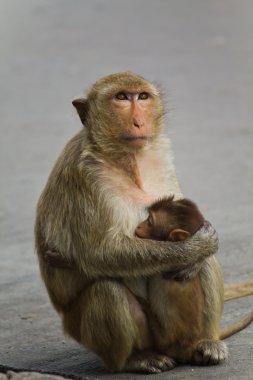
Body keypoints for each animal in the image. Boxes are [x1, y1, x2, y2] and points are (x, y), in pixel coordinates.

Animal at [35, 72, 227, 374]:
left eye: (142, 97)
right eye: (122, 98)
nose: (138, 121)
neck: (128, 160)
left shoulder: (161, 156)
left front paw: (198, 252)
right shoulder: (88, 175)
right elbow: (100, 253)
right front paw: (193, 249)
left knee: (207, 265)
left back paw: (205, 344)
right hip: (87, 331)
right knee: (107, 290)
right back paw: (135, 359)